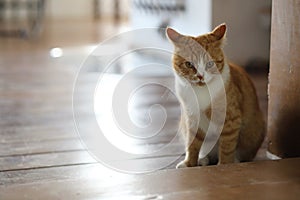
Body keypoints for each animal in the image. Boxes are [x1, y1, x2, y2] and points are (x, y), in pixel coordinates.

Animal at [166, 23, 264, 167]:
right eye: (189, 64)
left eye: (210, 63)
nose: (200, 76)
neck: (200, 92)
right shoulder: (192, 118)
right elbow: (192, 144)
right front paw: (189, 163)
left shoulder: (230, 121)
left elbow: (227, 148)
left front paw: (224, 165)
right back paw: (203, 159)